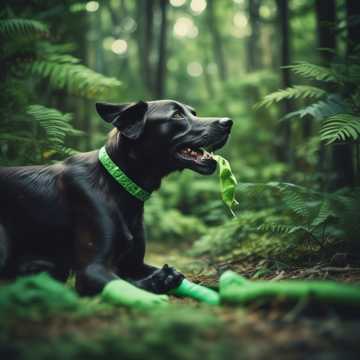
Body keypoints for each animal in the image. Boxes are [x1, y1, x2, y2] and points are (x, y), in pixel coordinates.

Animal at [0, 99, 232, 296]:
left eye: (194, 113)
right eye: (176, 115)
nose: (228, 122)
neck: (118, 185)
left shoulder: (134, 263)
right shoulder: (91, 270)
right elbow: (125, 284)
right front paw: (160, 280)